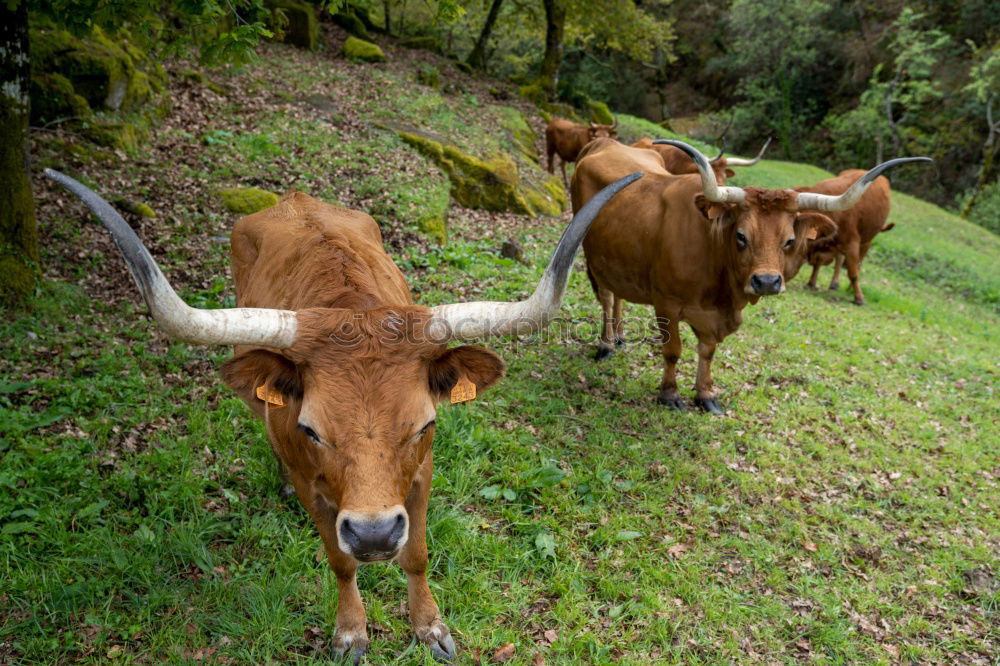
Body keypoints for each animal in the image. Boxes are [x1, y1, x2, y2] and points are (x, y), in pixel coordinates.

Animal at [45, 169, 640, 660]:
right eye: (310, 429)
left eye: (425, 424)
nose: (375, 535)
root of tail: (294, 198)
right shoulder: (315, 485)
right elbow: (339, 560)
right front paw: (351, 633)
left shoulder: (421, 473)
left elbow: (417, 553)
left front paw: (430, 628)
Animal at [792, 169, 896, 304]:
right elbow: (818, 263)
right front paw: (812, 283)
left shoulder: (852, 244)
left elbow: (853, 273)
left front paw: (859, 297)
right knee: (839, 260)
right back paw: (834, 283)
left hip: (867, 241)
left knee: (857, 264)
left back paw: (848, 288)